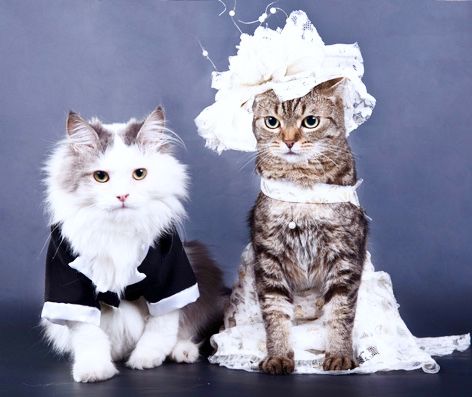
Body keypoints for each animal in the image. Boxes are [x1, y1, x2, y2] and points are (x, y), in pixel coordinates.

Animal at [40, 107, 225, 380]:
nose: (122, 196)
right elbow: (88, 335)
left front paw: (145, 359)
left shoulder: (171, 277)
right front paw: (94, 370)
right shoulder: (69, 287)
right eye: (100, 177)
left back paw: (182, 352)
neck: (119, 231)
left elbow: (162, 326)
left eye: (139, 174)